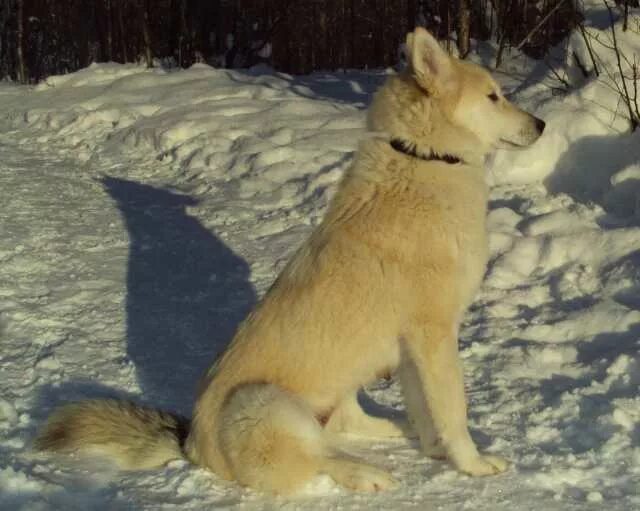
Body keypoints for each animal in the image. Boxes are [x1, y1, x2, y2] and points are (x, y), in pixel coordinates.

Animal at [35, 28, 544, 496]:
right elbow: (453, 410)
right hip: (266, 402)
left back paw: (391, 433)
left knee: (339, 429)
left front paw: (434, 448)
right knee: (316, 458)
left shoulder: (412, 350)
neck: (425, 159)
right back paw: (366, 473)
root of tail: (191, 444)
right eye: (494, 96)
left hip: (338, 387)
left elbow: (425, 409)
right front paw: (472, 464)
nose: (540, 124)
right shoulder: (432, 335)